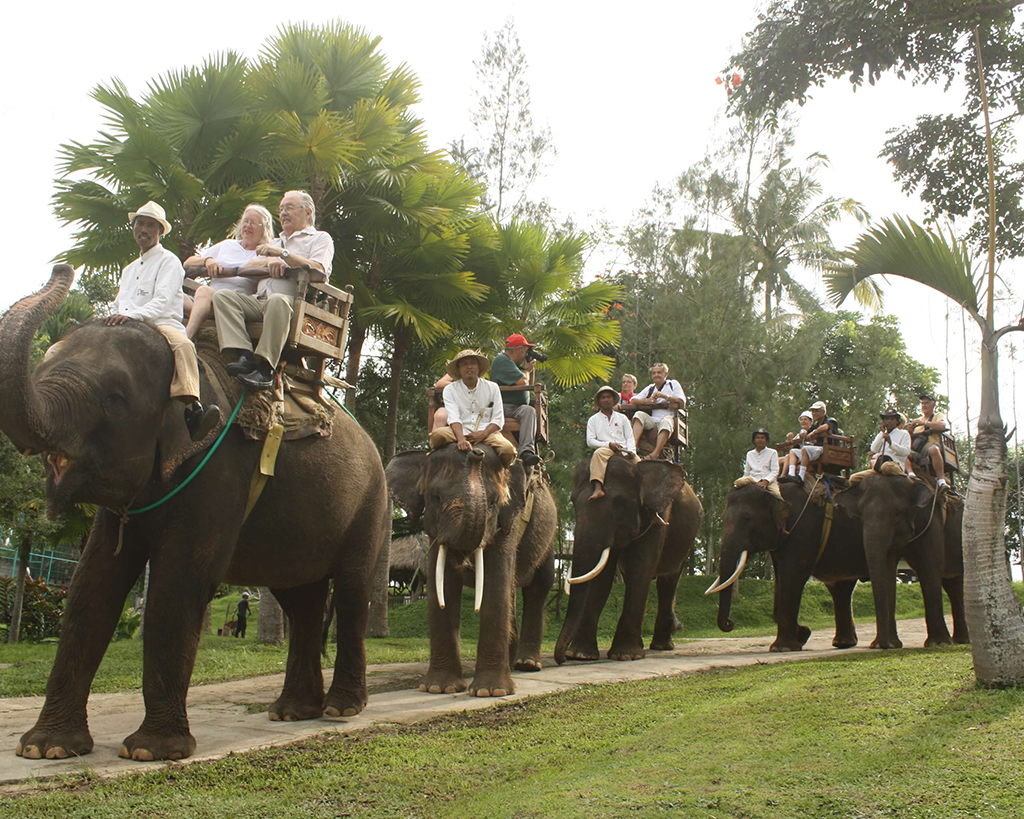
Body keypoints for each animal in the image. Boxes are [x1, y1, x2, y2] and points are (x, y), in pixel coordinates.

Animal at [3, 268, 387, 761]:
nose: (60, 270)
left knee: (353, 591)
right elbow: (93, 584)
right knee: (300, 600)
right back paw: (290, 712)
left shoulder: (220, 467)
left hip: (371, 504)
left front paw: (151, 751)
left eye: (116, 400)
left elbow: (179, 582)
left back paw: (341, 709)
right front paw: (45, 748)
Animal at [385, 442, 561, 696]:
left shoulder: (507, 522)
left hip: (548, 539)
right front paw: (439, 688)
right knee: (513, 592)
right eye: (435, 498)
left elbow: (495, 582)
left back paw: (527, 664)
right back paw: (511, 663)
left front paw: (490, 691)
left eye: (493, 502)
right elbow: (443, 587)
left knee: (538, 588)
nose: (475, 453)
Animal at [552, 456, 704, 663]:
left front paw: (625, 655)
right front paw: (581, 655)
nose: (562, 659)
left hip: (685, 541)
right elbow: (602, 577)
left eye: (618, 504)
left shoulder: (658, 516)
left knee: (668, 582)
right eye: (573, 502)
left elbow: (639, 570)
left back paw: (662, 645)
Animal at [831, 470, 966, 651]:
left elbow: (930, 566)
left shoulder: (931, 517)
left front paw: (938, 644)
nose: (881, 646)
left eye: (896, 515)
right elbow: (888, 568)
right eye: (861, 517)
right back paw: (961, 640)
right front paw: (891, 644)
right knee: (952, 584)